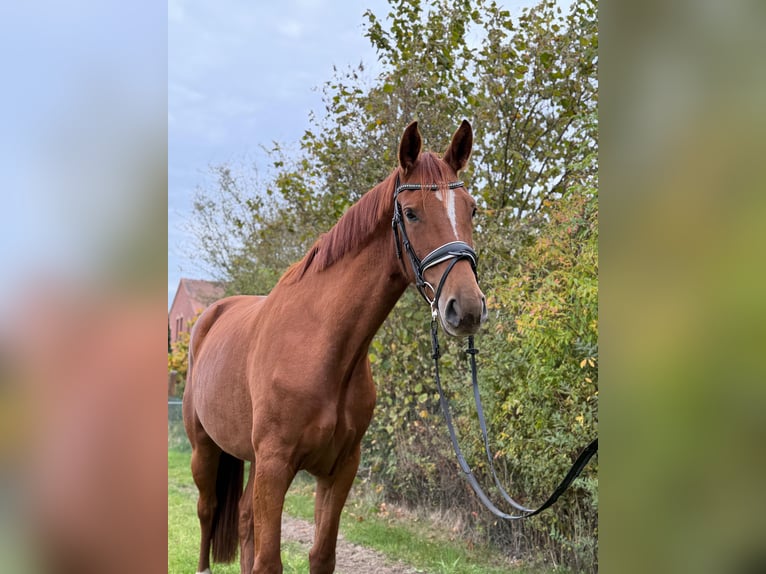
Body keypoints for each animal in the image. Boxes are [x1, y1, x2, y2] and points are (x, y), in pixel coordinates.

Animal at [183, 120, 487, 574]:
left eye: (470, 209)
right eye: (411, 212)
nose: (465, 309)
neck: (321, 348)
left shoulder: (339, 469)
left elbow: (321, 555)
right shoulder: (275, 466)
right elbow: (269, 560)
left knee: (242, 516)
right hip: (205, 450)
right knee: (208, 510)